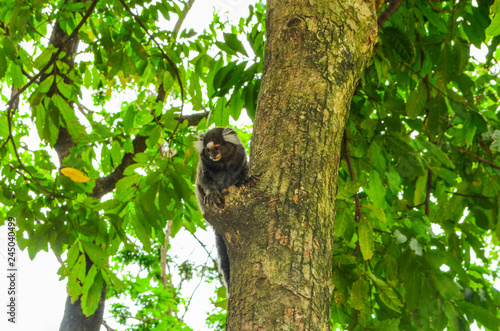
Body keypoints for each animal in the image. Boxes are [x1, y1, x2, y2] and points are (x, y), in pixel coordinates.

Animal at [195, 127, 250, 294]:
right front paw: (212, 193)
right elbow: (204, 180)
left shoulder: (241, 155)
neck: (223, 162)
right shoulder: (204, 166)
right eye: (207, 150)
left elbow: (244, 169)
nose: (212, 155)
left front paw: (243, 179)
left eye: (216, 147)